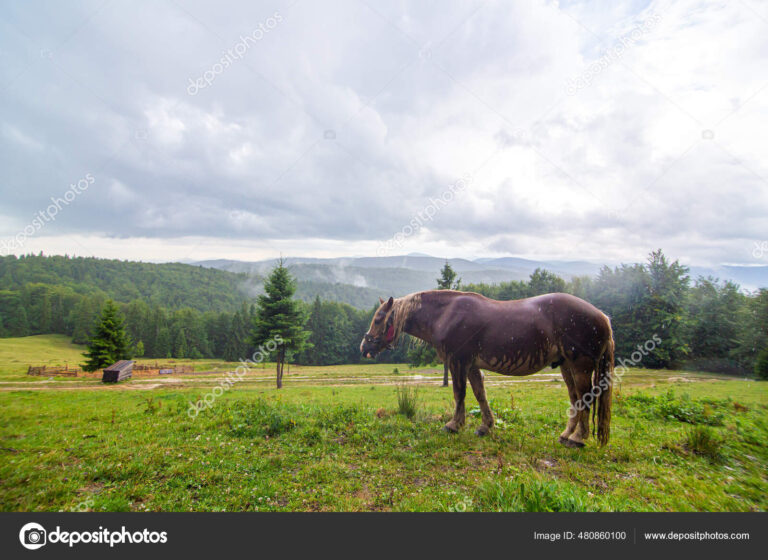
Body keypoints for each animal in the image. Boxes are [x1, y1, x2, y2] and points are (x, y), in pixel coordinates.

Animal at [360, 290, 614, 447]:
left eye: (378, 319)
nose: (364, 347)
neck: (446, 314)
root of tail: (603, 317)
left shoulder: (458, 362)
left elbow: (459, 394)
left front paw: (454, 425)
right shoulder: (471, 365)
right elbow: (479, 394)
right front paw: (485, 427)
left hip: (581, 367)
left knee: (586, 399)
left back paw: (578, 438)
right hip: (566, 367)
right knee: (576, 400)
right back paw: (566, 435)